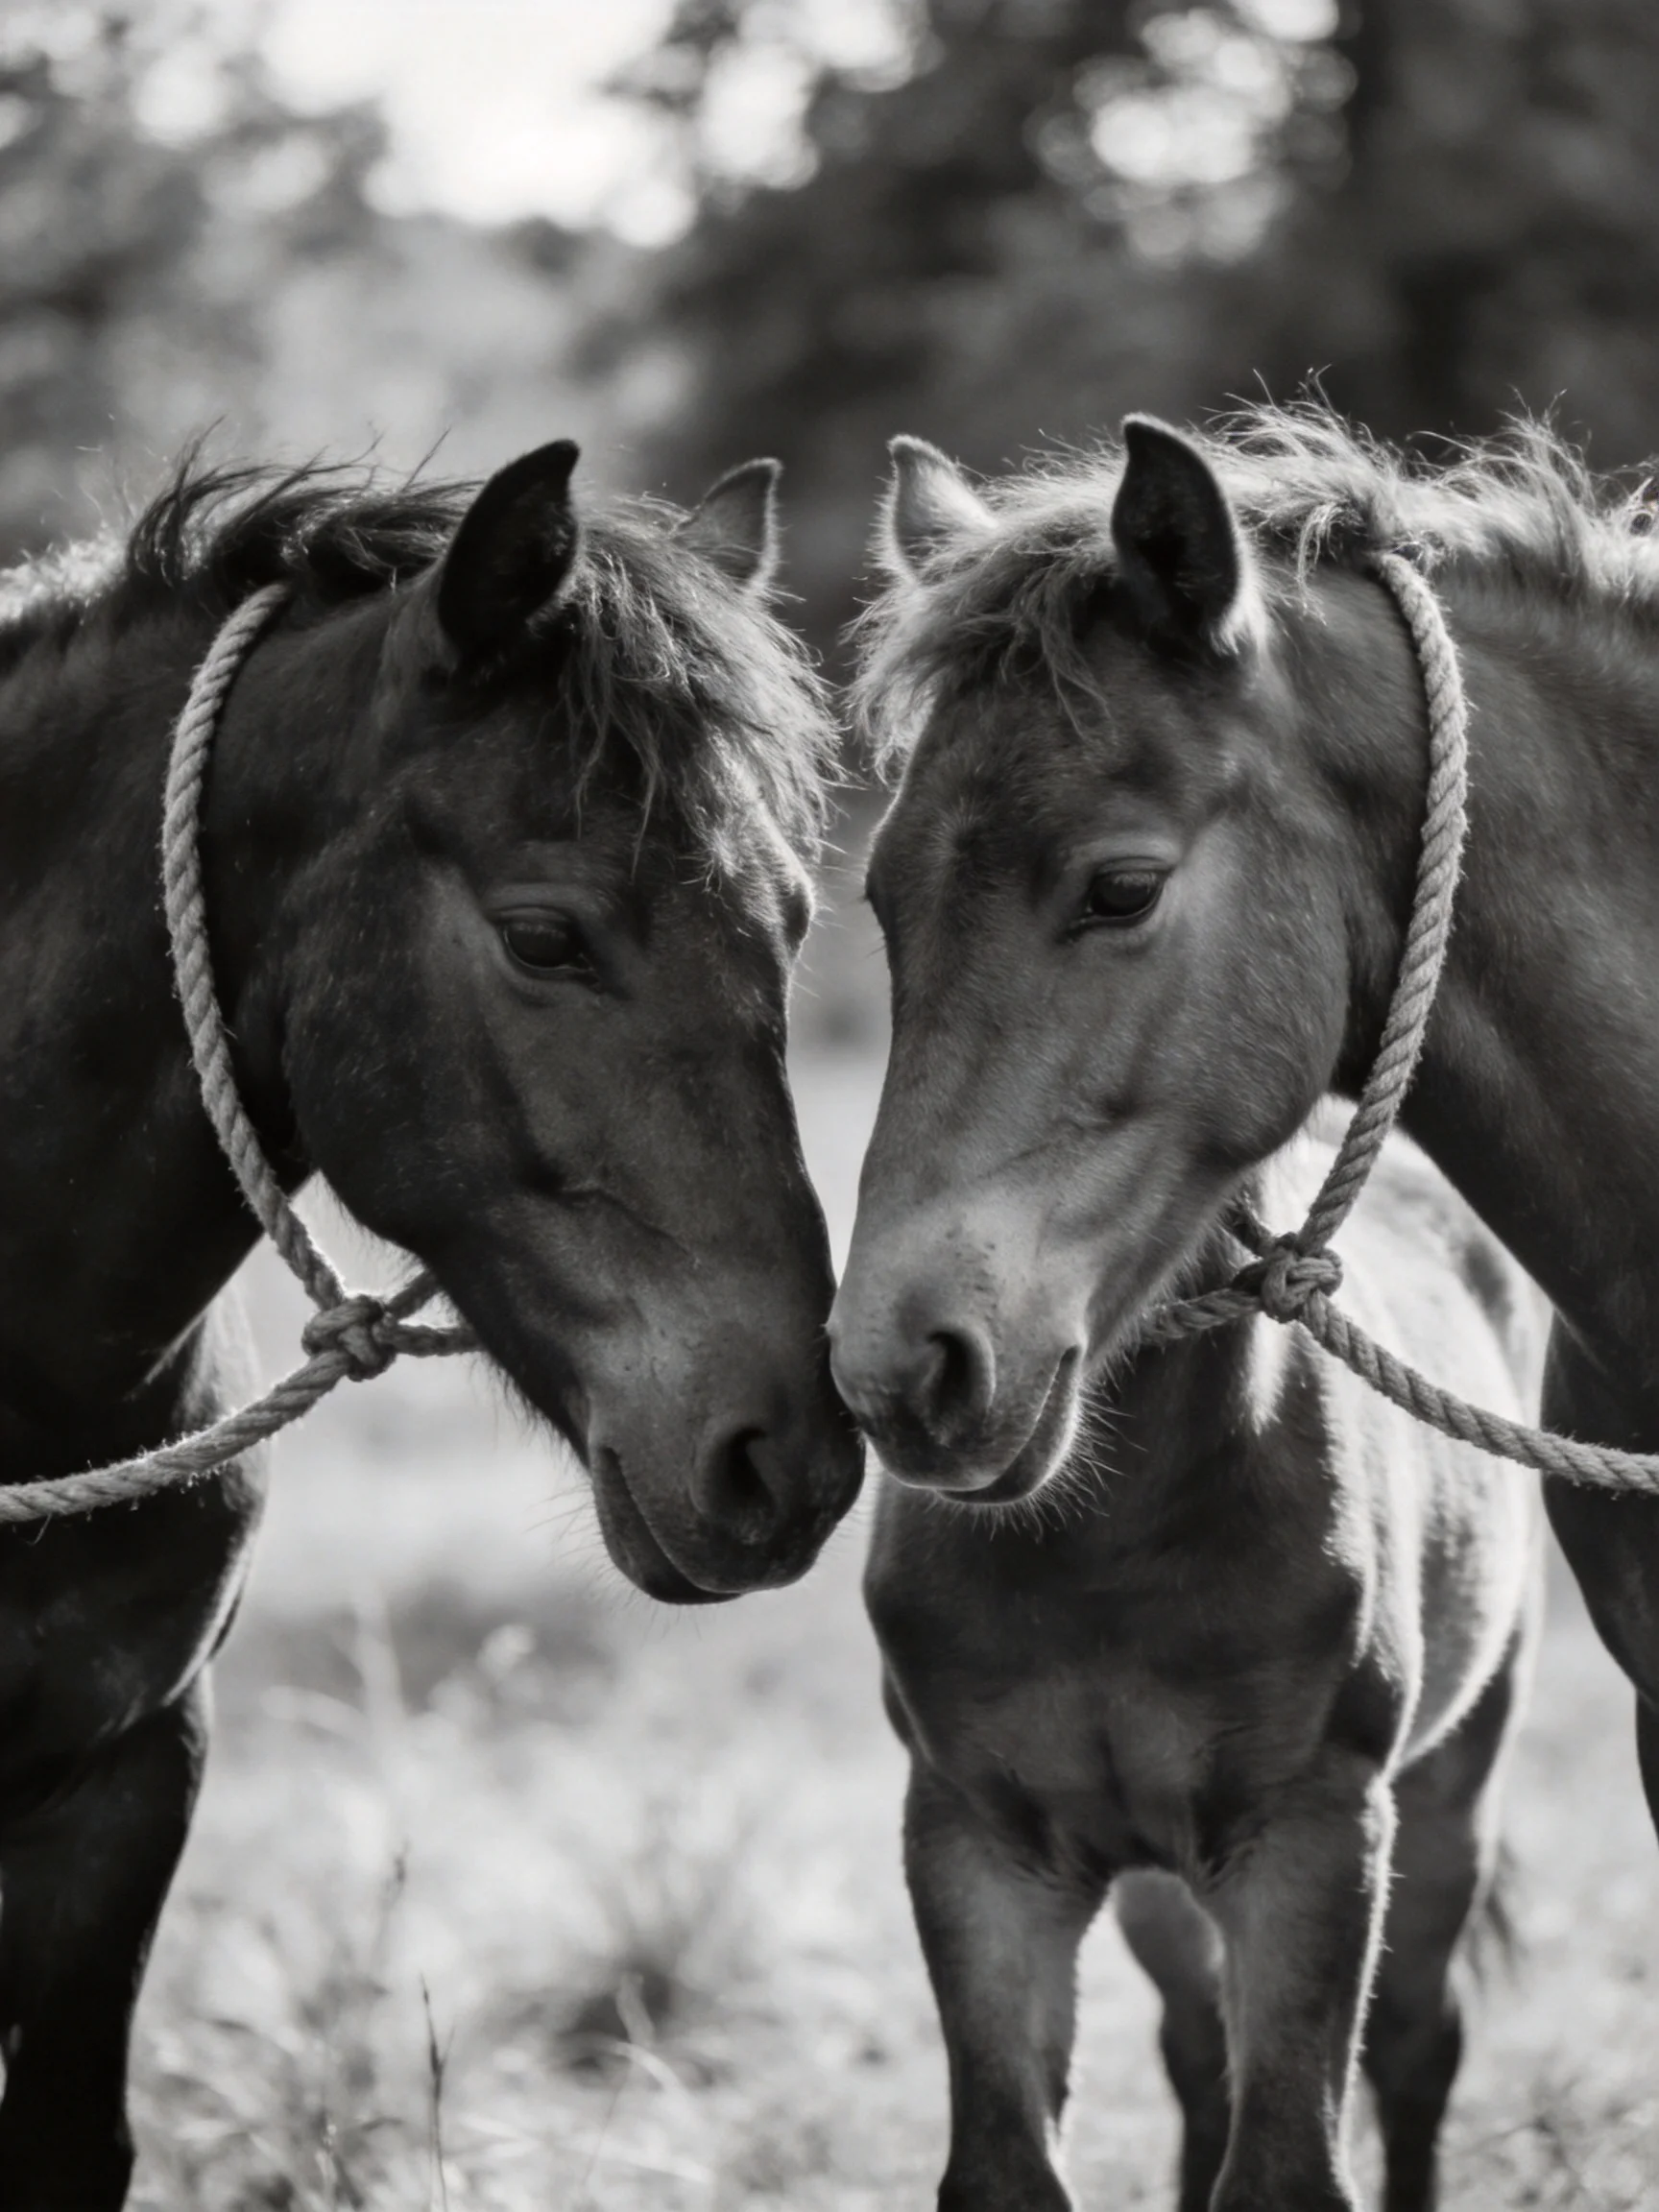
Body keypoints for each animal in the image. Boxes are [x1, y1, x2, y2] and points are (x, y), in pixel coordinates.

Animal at [864, 1127, 1543, 2212]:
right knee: (1199, 2051)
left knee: (1417, 2044)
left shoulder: (1308, 1835)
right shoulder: (981, 1843)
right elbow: (1006, 2162)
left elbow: (1289, 2162)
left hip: (1450, 1794)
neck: (1100, 1539)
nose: (944, 1380)